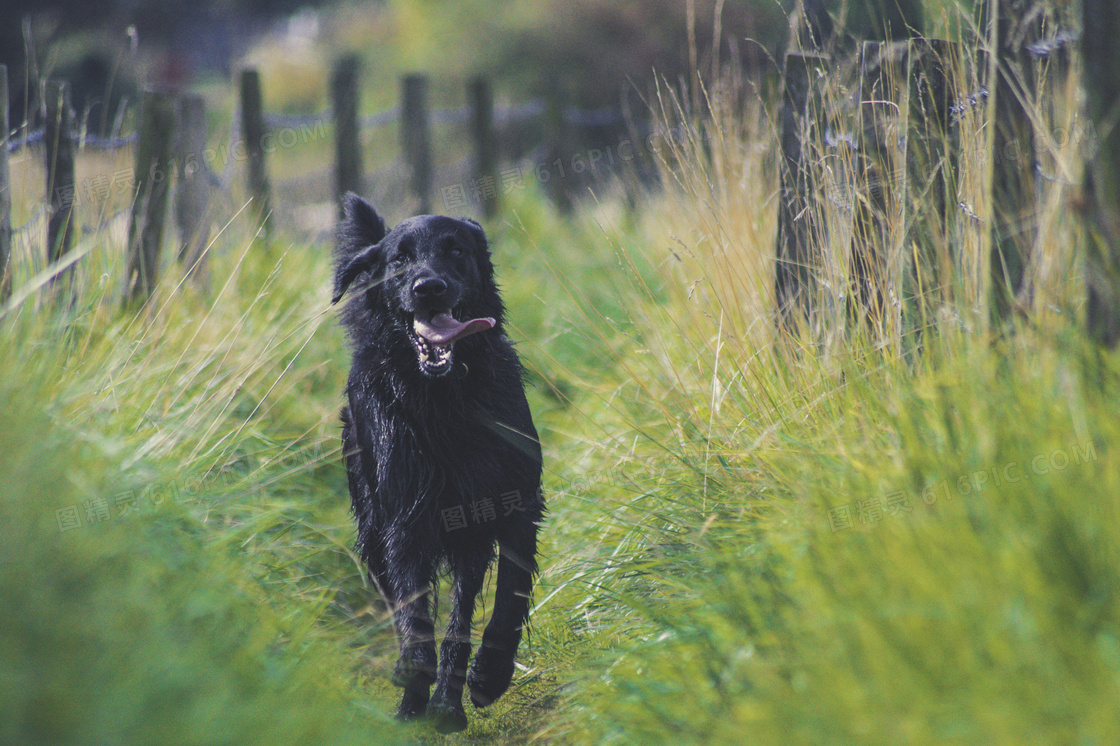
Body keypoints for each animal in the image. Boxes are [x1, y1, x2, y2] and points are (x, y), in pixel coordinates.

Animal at [329, 192, 544, 730]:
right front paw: (414, 676)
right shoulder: (405, 517)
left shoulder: (512, 503)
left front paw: (490, 675)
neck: (443, 398)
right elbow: (414, 613)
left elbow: (505, 599)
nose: (429, 288)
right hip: (371, 527)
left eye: (456, 251)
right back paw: (417, 703)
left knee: (462, 613)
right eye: (399, 260)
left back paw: (448, 702)